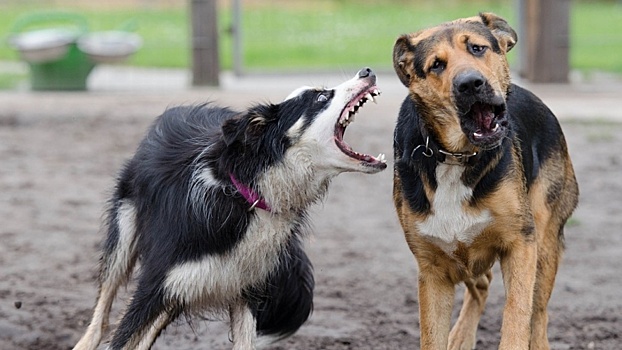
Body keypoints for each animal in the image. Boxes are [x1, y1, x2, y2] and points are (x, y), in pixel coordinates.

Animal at [73, 67, 386, 348]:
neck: (249, 193)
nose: (367, 71)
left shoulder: (242, 286)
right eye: (321, 97)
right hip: (125, 232)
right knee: (103, 311)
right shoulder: (157, 283)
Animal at [394, 12, 580, 348]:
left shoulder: (521, 243)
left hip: (544, 241)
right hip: (465, 255)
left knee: (539, 313)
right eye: (436, 65)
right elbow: (431, 335)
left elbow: (518, 315)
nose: (470, 84)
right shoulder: (432, 269)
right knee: (482, 285)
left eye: (477, 48)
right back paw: (461, 336)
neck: (455, 156)